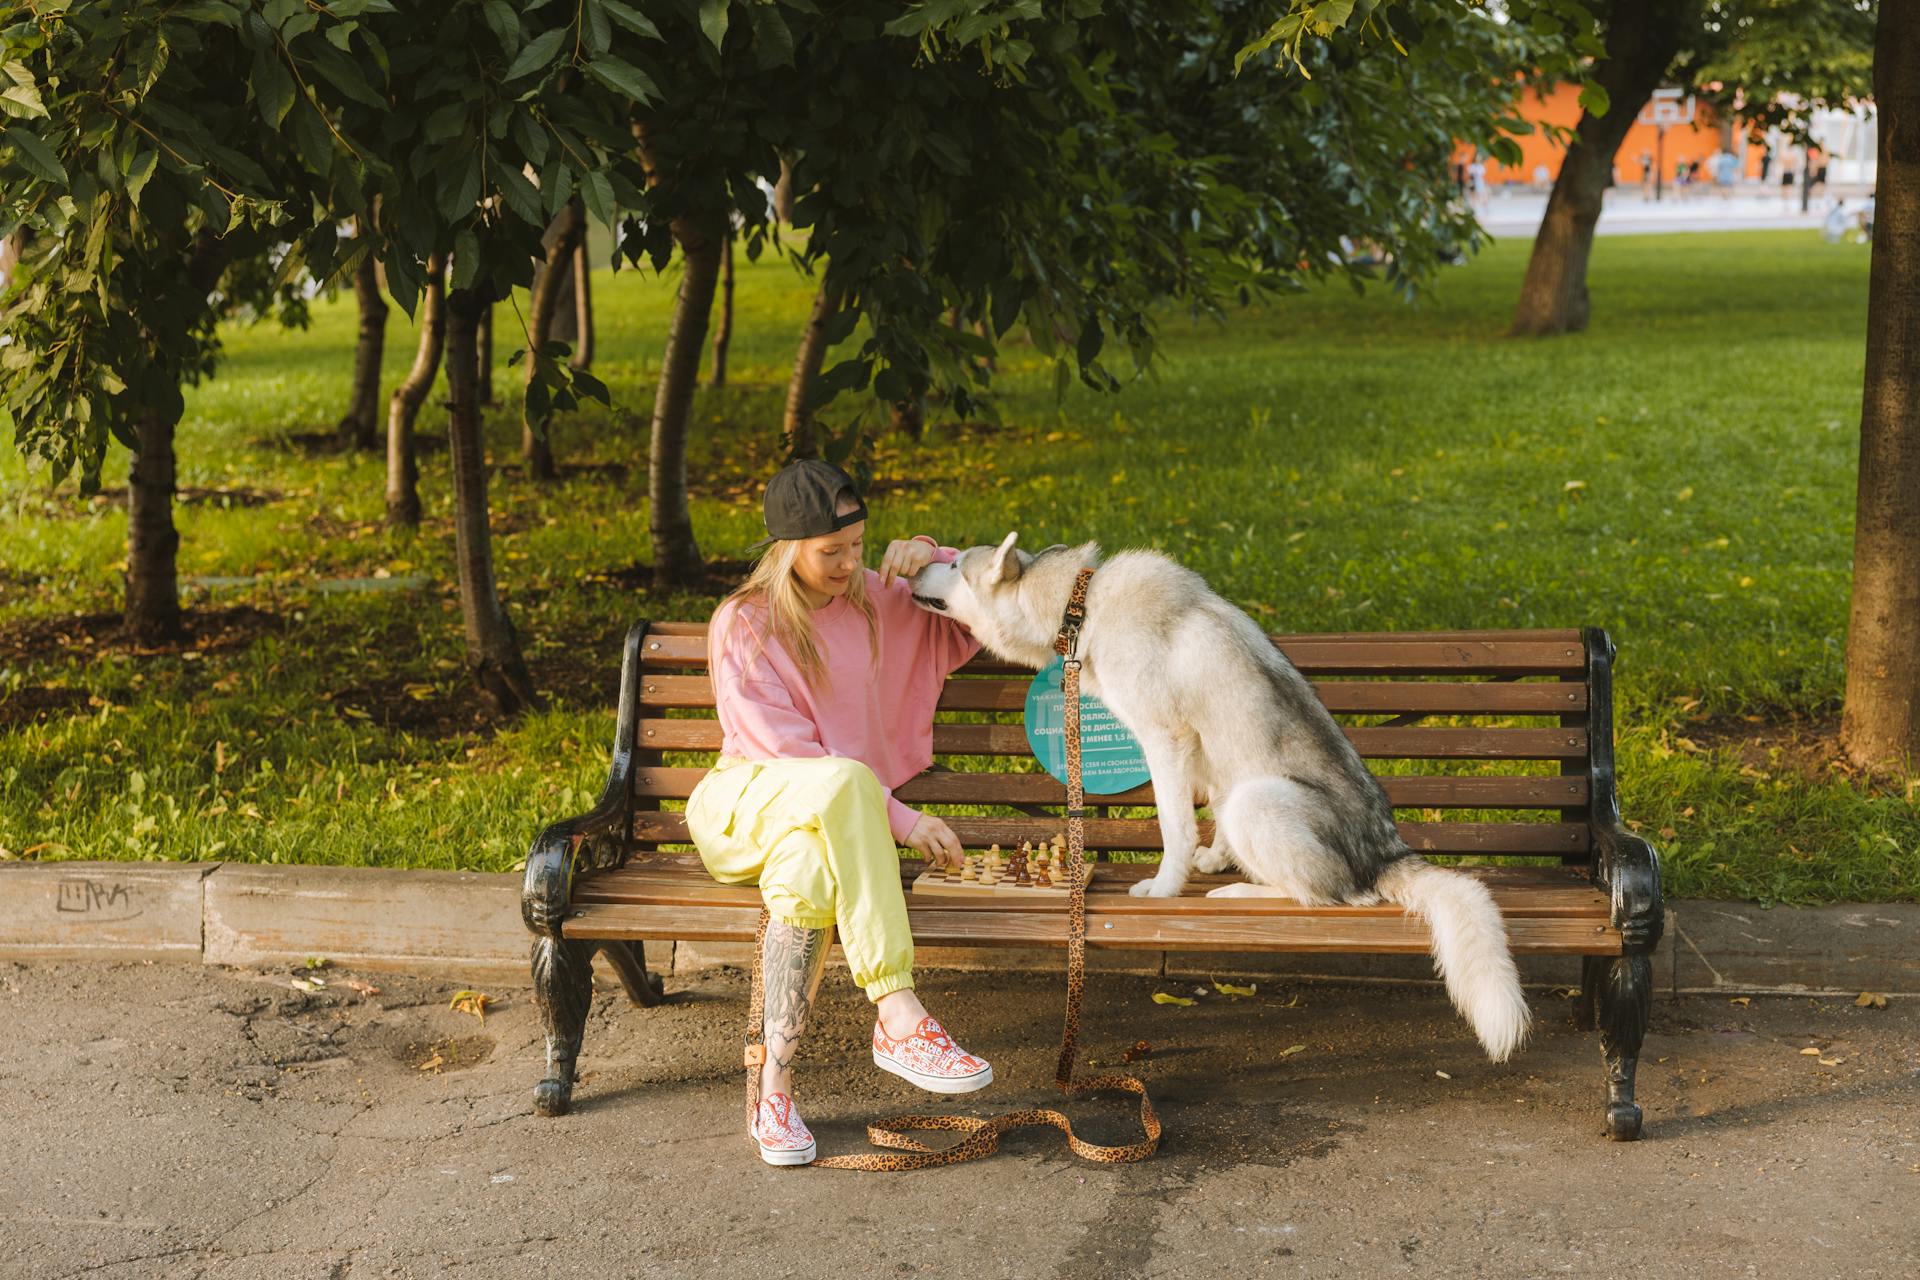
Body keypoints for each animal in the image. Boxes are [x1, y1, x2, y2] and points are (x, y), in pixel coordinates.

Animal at [910, 529, 1528, 1059]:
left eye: (954, 564)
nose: (916, 563)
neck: (1080, 605)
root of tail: (1385, 851)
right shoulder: (1202, 759)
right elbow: (1201, 820)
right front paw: (1211, 859)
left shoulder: (1164, 741)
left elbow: (1174, 828)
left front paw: (1165, 887)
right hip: (1242, 798)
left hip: (1255, 800)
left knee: (1335, 899)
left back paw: (1241, 893)